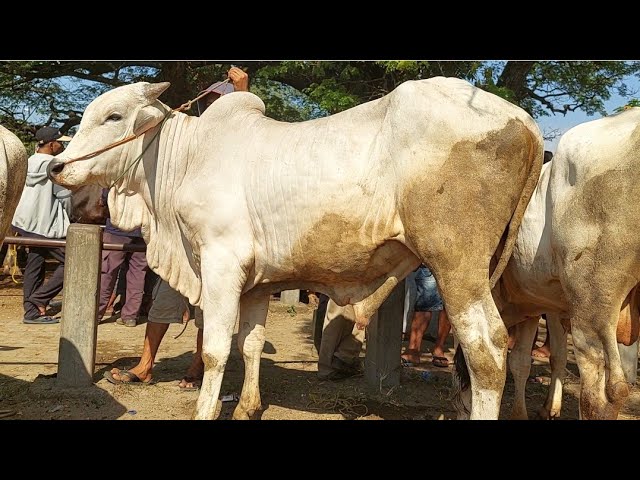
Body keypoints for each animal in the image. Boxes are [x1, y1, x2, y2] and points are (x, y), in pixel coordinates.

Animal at [47, 79, 544, 420]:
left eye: (113, 117)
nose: (55, 166)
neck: (185, 158)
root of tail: (527, 124)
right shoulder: (256, 281)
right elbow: (249, 343)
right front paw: (247, 406)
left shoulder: (220, 263)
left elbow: (215, 349)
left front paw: (206, 409)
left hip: (456, 265)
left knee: (487, 350)